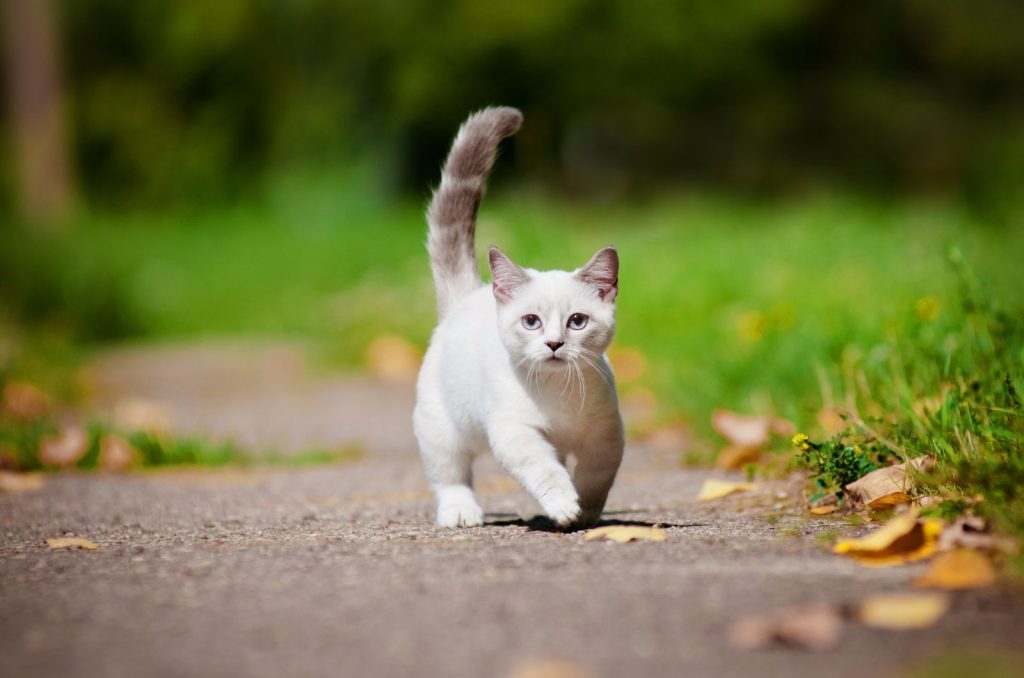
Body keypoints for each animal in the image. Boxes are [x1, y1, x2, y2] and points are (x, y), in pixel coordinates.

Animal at [409, 106, 622, 532]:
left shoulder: (607, 435)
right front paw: (563, 505)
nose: (554, 343)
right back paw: (460, 512)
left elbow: (595, 476)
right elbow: (545, 470)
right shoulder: (514, 432)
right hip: (441, 425)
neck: (558, 398)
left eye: (577, 321)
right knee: (450, 475)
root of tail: (468, 294)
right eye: (531, 321)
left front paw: (585, 512)